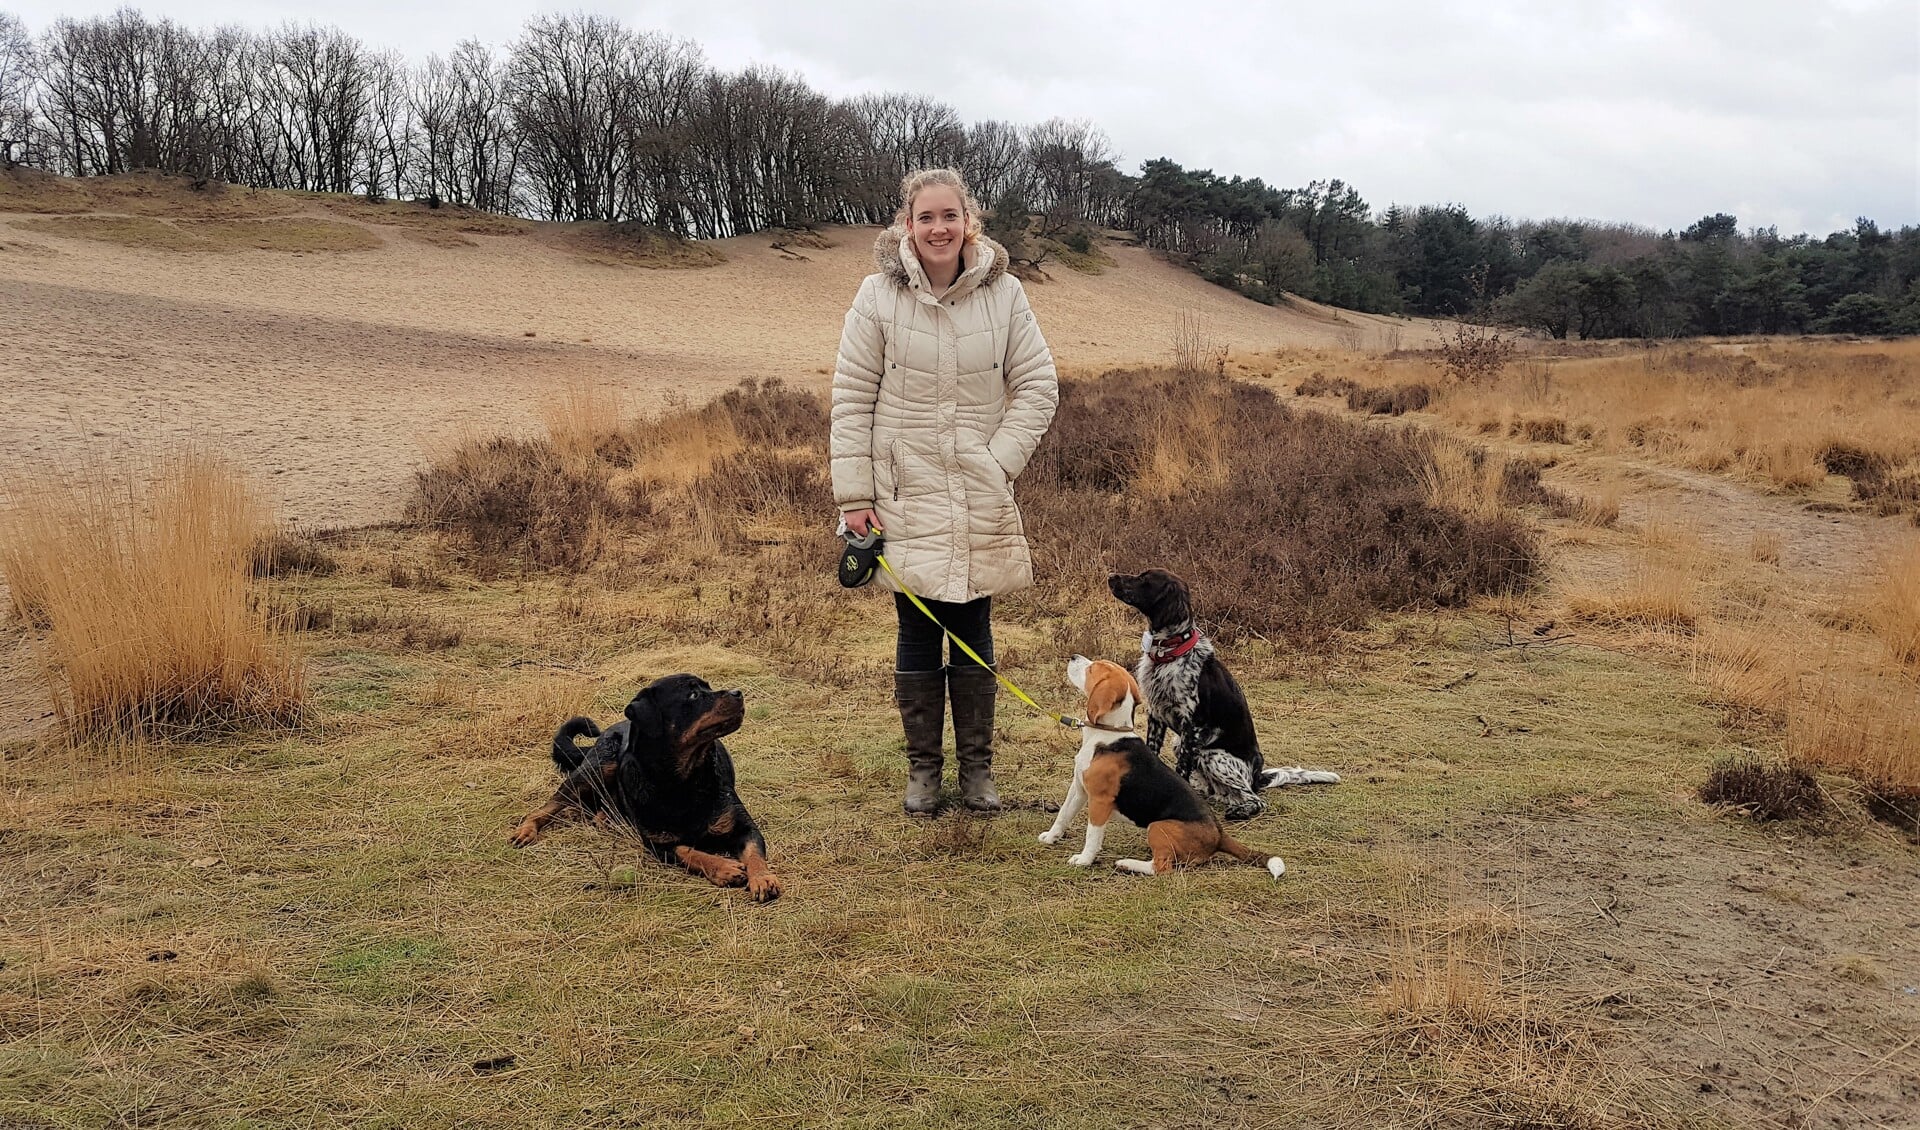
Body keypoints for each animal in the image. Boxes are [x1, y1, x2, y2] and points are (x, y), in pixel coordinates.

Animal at [514, 675, 783, 901]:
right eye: (693, 695)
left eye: (708, 686)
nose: (738, 692)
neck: (683, 781)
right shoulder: (657, 844)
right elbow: (688, 851)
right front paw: (723, 867)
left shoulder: (744, 826)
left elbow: (754, 853)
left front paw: (762, 878)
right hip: (597, 767)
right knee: (547, 806)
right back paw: (526, 830)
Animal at [1113, 567, 1336, 813]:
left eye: (1145, 579)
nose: (1111, 577)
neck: (1170, 653)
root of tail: (1257, 777)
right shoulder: (1156, 716)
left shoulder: (1192, 726)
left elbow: (1181, 770)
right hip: (1181, 744)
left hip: (1212, 755)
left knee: (1255, 799)